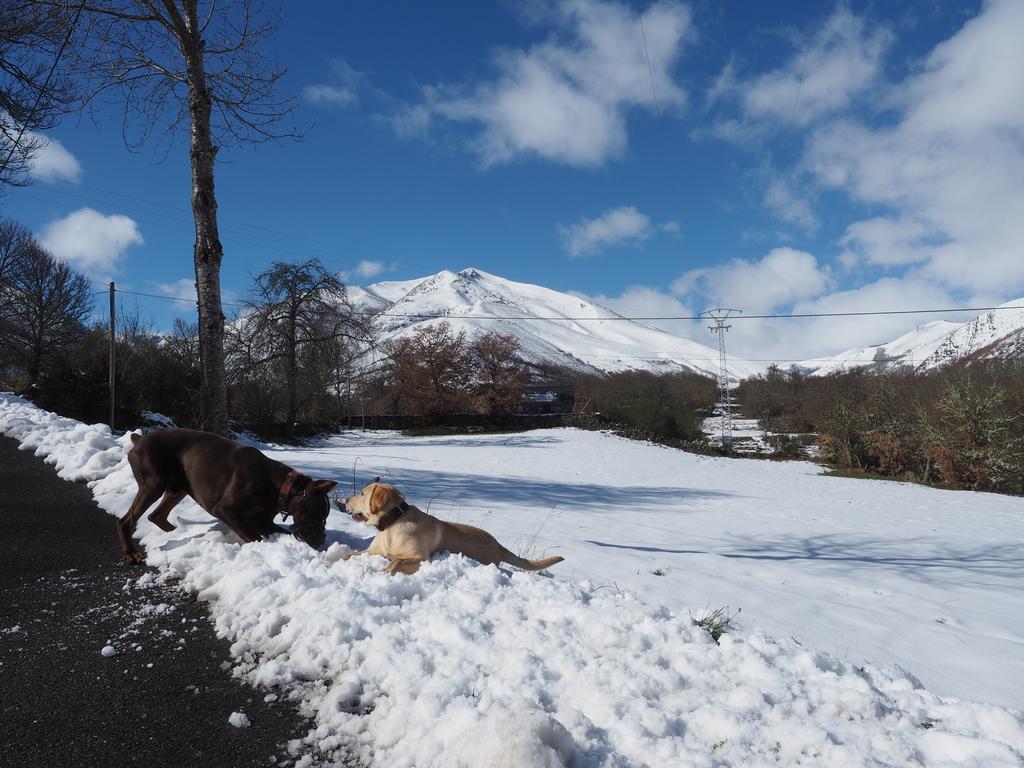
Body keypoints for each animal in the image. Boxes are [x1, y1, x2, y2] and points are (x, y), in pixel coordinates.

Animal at [118, 428, 335, 565]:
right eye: (317, 514)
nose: (321, 541)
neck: (279, 487)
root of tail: (139, 439)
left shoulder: (264, 522)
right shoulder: (225, 510)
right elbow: (254, 537)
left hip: (178, 488)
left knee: (157, 516)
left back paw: (177, 533)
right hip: (153, 485)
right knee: (126, 520)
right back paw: (131, 554)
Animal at [339, 481, 565, 577]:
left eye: (362, 493)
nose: (345, 500)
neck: (392, 524)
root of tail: (499, 545)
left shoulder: (421, 557)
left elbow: (396, 561)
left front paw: (384, 572)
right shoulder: (372, 551)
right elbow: (348, 555)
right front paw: (334, 562)